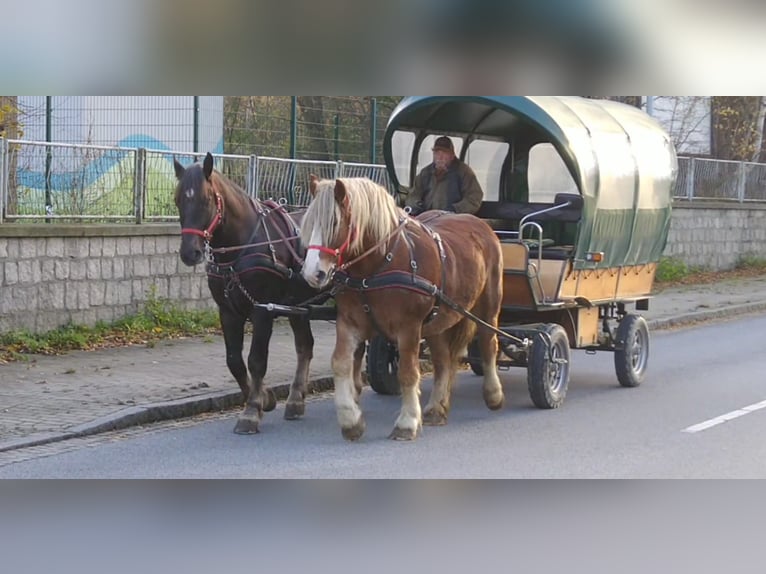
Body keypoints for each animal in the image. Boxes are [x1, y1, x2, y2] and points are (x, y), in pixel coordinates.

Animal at [175, 154, 324, 436]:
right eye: (177, 199)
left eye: (206, 200)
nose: (190, 253)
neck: (242, 246)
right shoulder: (228, 312)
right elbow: (234, 360)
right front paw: (265, 398)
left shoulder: (262, 310)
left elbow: (256, 360)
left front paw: (251, 411)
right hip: (298, 307)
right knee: (305, 346)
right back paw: (295, 400)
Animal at [304, 178, 508, 444]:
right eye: (308, 223)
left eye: (335, 223)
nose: (312, 273)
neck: (378, 265)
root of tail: (481, 225)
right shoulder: (350, 322)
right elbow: (340, 363)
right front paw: (351, 420)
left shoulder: (408, 327)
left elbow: (408, 372)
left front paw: (407, 422)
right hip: (438, 321)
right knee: (442, 361)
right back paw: (436, 408)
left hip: (488, 306)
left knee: (488, 343)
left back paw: (493, 394)